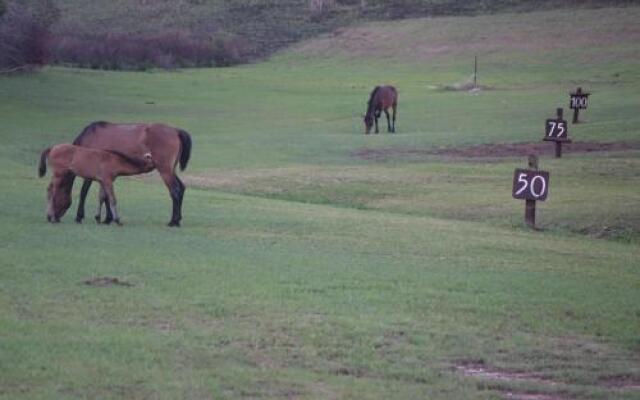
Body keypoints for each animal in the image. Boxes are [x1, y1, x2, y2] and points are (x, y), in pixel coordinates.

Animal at [49, 122, 191, 227]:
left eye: (55, 197)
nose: (51, 217)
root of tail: (175, 131)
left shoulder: (91, 172)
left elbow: (84, 192)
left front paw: (79, 216)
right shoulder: (104, 176)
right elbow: (106, 196)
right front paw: (107, 219)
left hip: (165, 170)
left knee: (175, 191)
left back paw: (173, 221)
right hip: (170, 170)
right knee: (181, 188)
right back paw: (178, 220)